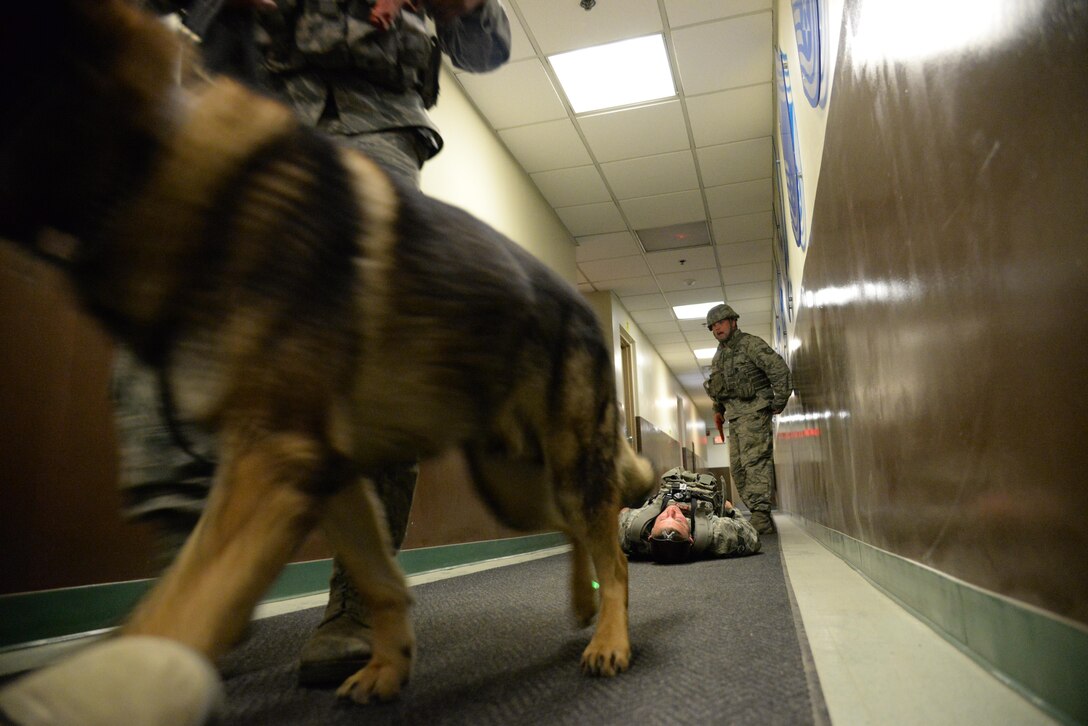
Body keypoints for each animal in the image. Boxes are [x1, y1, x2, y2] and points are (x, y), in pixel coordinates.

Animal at [0, 0, 652, 705]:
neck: (167, 155)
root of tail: (580, 303)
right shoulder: (322, 474)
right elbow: (382, 580)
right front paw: (387, 663)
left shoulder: (271, 463)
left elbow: (176, 612)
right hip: (511, 483)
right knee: (572, 528)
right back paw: (583, 605)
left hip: (568, 463)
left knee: (612, 549)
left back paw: (609, 637)